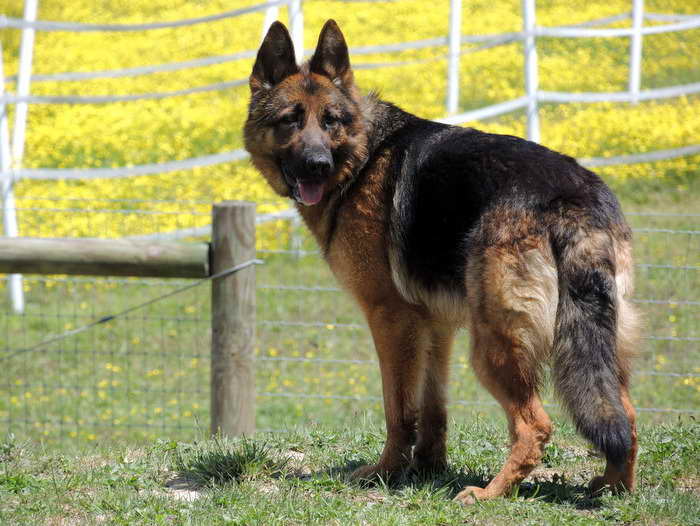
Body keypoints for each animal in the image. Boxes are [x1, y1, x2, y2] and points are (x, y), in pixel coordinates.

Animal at [245, 20, 640, 508]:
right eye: (291, 120)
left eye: (331, 120)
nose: (318, 164)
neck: (361, 159)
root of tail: (573, 198)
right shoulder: (436, 324)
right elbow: (432, 408)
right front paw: (428, 467)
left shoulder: (390, 319)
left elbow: (398, 408)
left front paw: (386, 471)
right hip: (598, 342)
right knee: (624, 418)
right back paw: (615, 487)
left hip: (493, 343)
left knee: (535, 426)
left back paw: (491, 493)